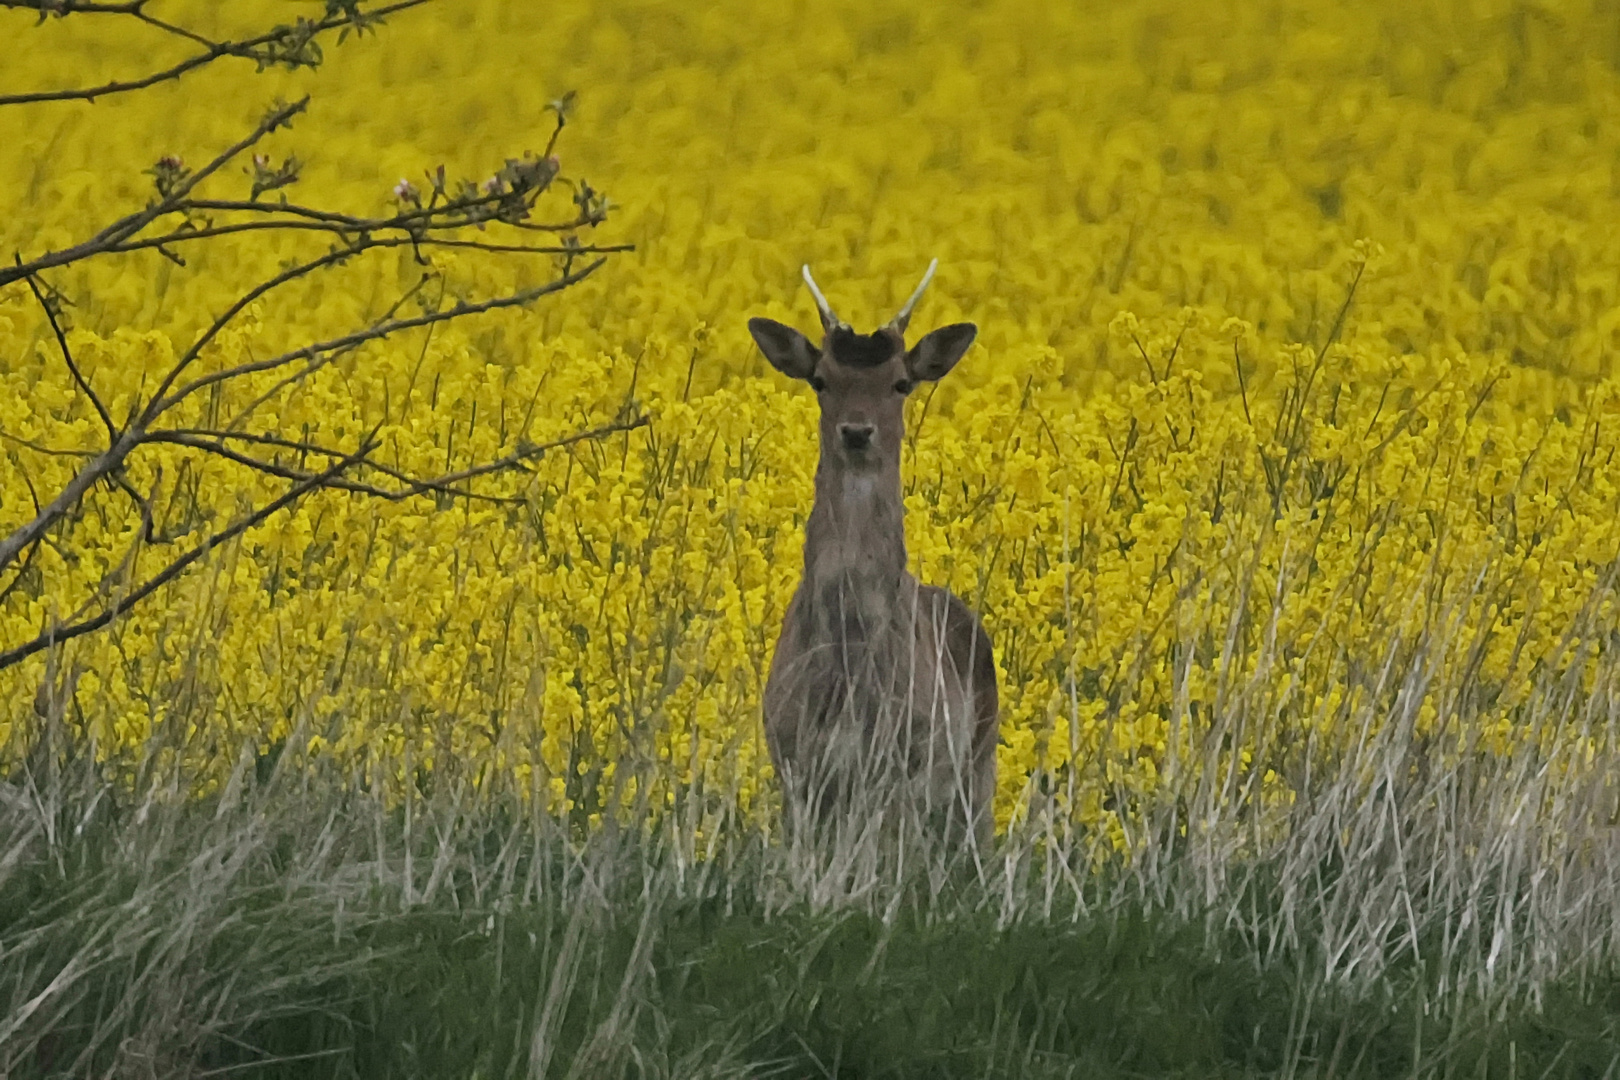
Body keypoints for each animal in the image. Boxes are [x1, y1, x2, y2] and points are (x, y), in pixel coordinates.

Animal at [748, 259, 997, 841]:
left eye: (901, 383)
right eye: (820, 380)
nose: (857, 432)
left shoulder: (906, 766)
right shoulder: (794, 762)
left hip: (980, 768)